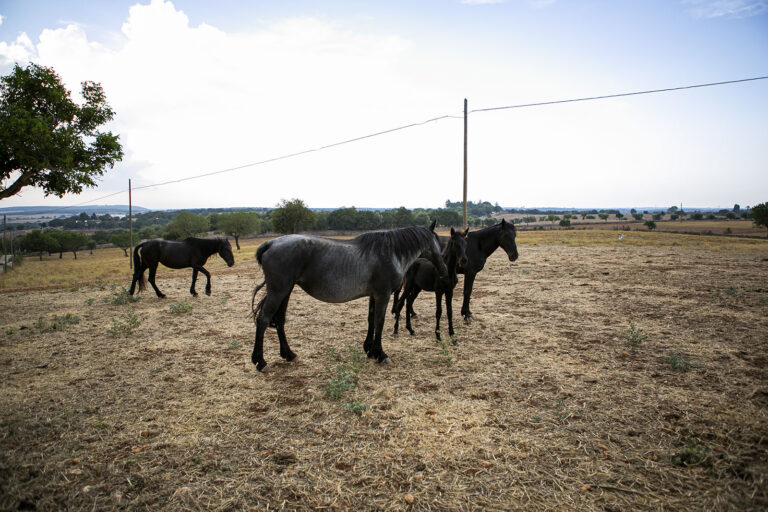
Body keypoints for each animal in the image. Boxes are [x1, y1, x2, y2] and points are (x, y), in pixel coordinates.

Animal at [249, 222, 448, 370]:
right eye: (438, 241)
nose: (444, 269)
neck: (390, 253)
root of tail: (271, 244)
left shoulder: (374, 295)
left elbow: (370, 320)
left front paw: (369, 350)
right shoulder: (383, 294)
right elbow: (379, 322)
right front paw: (380, 354)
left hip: (286, 291)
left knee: (279, 320)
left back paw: (288, 354)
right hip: (278, 291)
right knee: (263, 319)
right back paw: (260, 361)